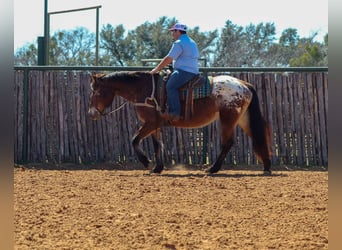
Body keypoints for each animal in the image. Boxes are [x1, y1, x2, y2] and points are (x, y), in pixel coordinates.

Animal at [88, 71, 272, 175]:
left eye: (96, 92)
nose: (91, 114)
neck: (144, 89)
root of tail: (243, 84)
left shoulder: (149, 123)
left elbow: (134, 140)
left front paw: (146, 162)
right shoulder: (155, 125)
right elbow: (157, 145)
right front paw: (158, 168)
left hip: (228, 118)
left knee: (227, 143)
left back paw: (212, 169)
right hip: (242, 119)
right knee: (257, 138)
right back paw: (267, 166)